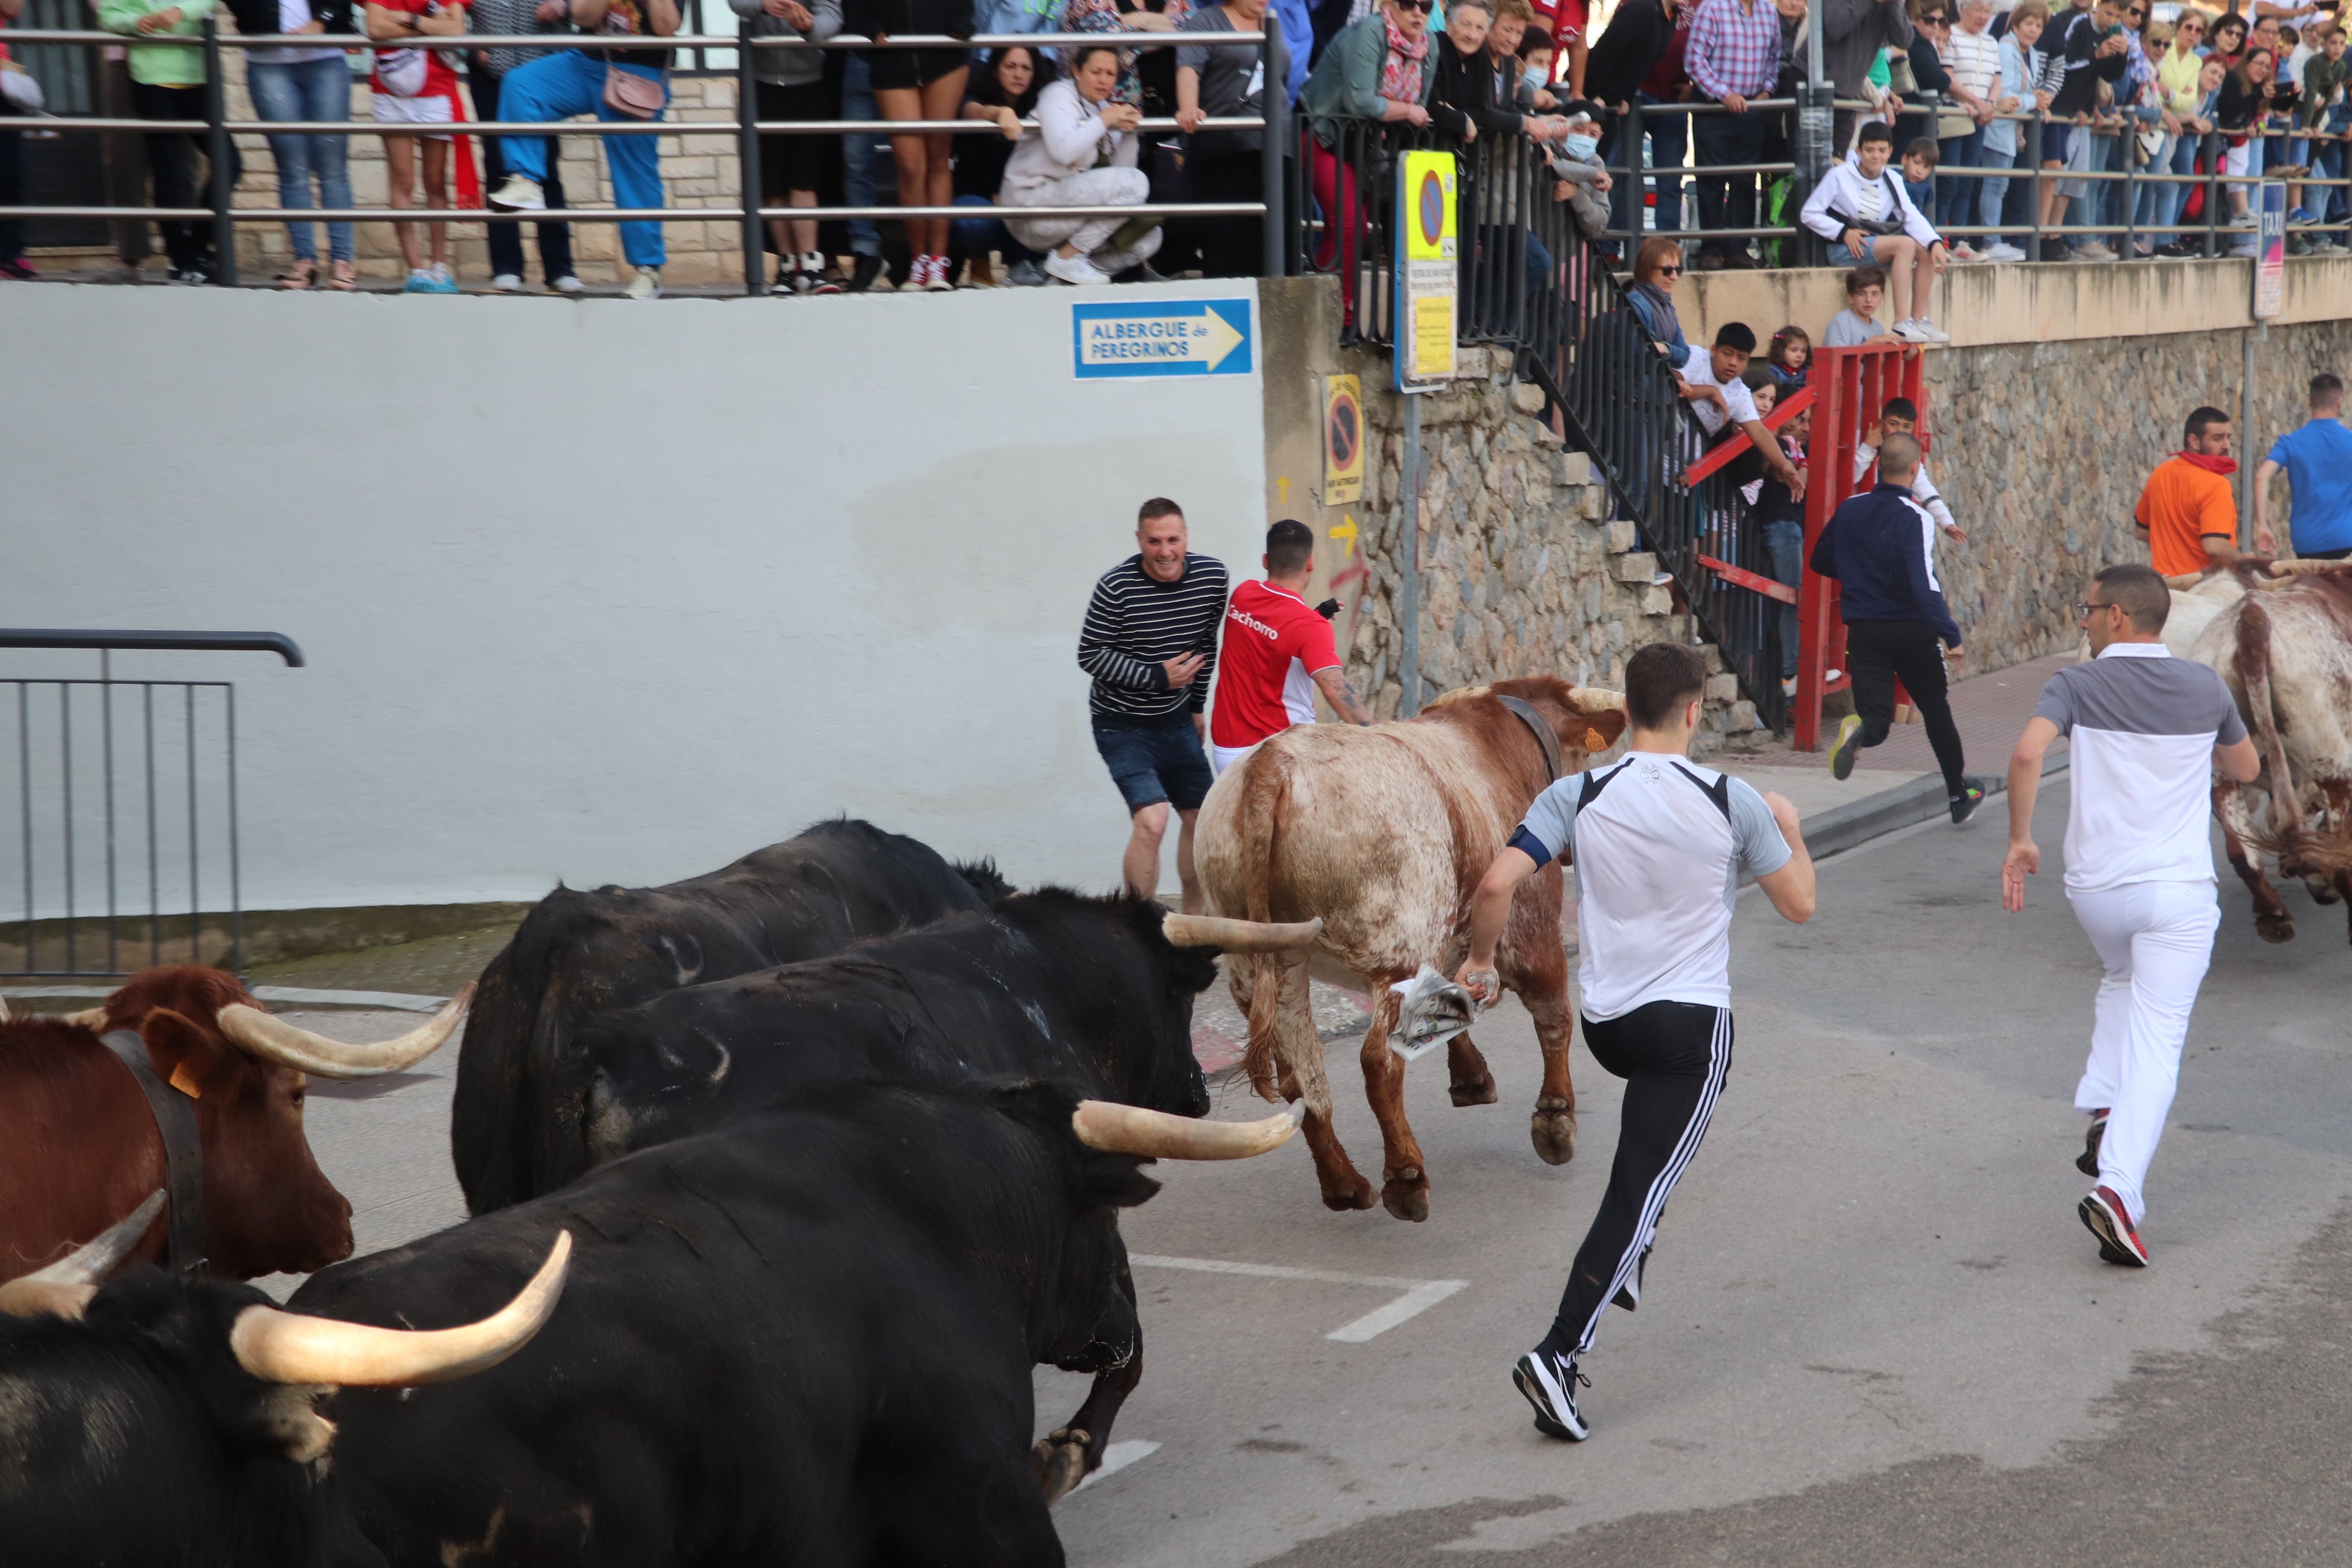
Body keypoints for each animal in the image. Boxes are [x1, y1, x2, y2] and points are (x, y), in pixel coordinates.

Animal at [1204, 677, 1627, 1222]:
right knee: (1379, 1062)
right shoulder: (1530, 927)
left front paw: (1470, 1077)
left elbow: (1456, 1004)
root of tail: (1272, 762)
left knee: (1303, 1076)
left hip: (1268, 964)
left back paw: (1345, 1184)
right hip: (1394, 952)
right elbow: (1555, 1015)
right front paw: (1555, 1119)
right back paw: (1405, 1178)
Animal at [2173, 557, 2352, 940]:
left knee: (2242, 849)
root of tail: (2251, 623)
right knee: (2340, 851)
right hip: (2332, 764)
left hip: (2221, 769)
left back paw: (2273, 915)